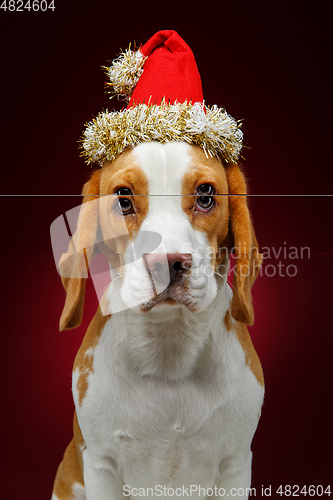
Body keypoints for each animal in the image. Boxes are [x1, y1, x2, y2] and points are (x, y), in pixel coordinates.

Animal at [52, 142, 264, 500]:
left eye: (205, 194)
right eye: (123, 198)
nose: (168, 263)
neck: (170, 348)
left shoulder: (235, 465)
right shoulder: (101, 465)